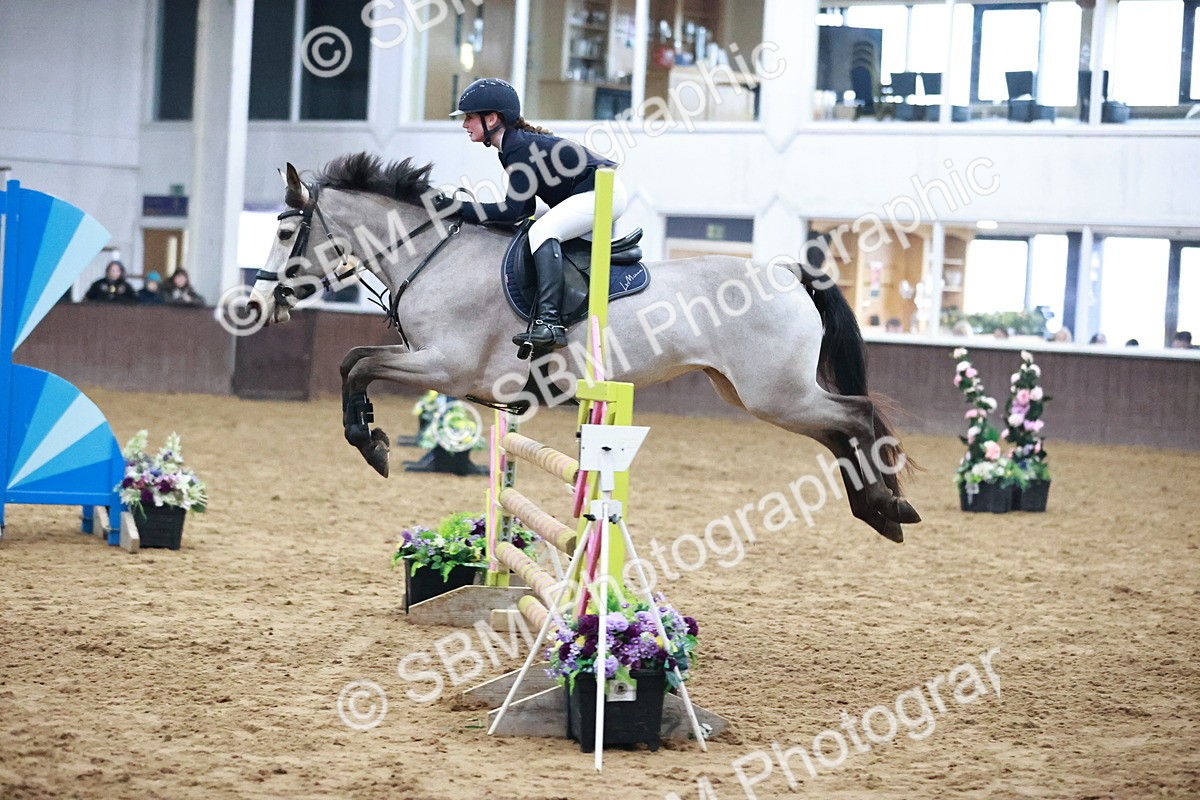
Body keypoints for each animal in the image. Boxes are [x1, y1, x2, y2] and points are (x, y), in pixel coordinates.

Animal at [246, 153, 921, 542]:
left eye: (284, 229)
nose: (254, 304)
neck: (430, 255)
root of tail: (787, 272)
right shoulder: (435, 365)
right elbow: (351, 363)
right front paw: (370, 437)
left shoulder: (445, 367)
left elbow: (358, 365)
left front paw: (373, 444)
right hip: (754, 394)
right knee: (837, 431)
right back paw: (879, 512)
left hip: (775, 393)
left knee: (856, 416)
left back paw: (889, 505)